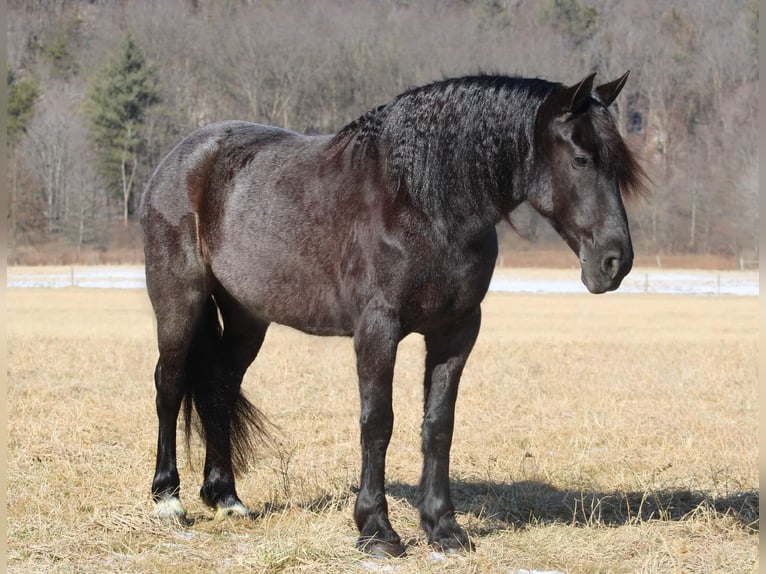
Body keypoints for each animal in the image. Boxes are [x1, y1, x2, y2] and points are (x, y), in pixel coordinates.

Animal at [140, 72, 648, 560]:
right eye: (582, 159)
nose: (615, 261)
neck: (421, 204)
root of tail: (180, 158)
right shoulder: (377, 330)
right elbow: (377, 422)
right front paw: (376, 529)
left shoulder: (457, 332)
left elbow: (439, 425)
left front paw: (444, 529)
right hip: (180, 299)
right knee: (170, 384)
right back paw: (168, 500)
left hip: (247, 316)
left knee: (219, 388)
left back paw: (227, 498)